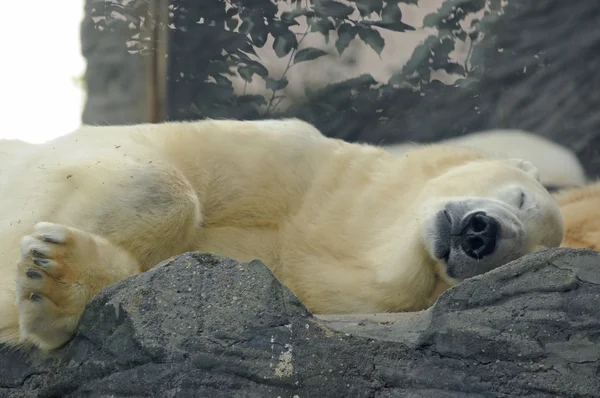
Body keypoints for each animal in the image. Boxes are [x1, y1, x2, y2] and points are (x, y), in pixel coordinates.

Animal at [0, 118, 564, 352]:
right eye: (521, 198)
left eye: (518, 254)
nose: (483, 233)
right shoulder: (293, 163)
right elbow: (153, 163)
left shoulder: (299, 273)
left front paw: (56, 282)